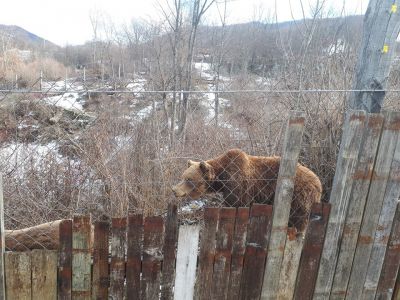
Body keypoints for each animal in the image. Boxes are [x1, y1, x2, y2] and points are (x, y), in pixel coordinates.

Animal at [172, 149, 322, 233]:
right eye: (182, 176)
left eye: (189, 179)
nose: (174, 190)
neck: (222, 177)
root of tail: (318, 183)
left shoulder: (239, 185)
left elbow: (235, 205)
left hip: (298, 197)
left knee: (298, 219)